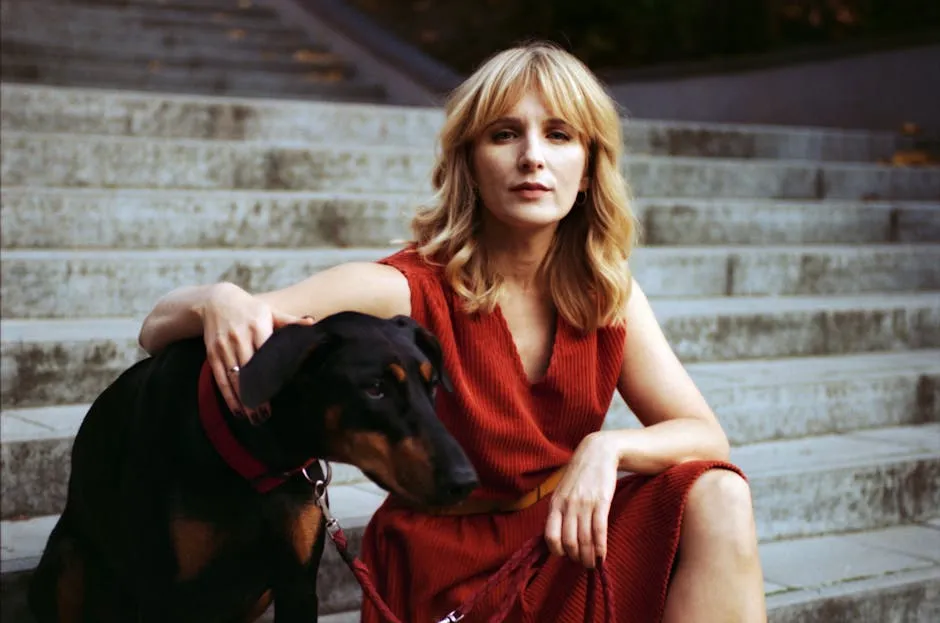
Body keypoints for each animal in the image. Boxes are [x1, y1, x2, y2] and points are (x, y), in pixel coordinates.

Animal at [27, 312, 478, 623]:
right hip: (67, 562)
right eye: (374, 389)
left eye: (431, 383)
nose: (465, 481)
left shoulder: (297, 584)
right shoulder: (162, 593)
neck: (256, 458)